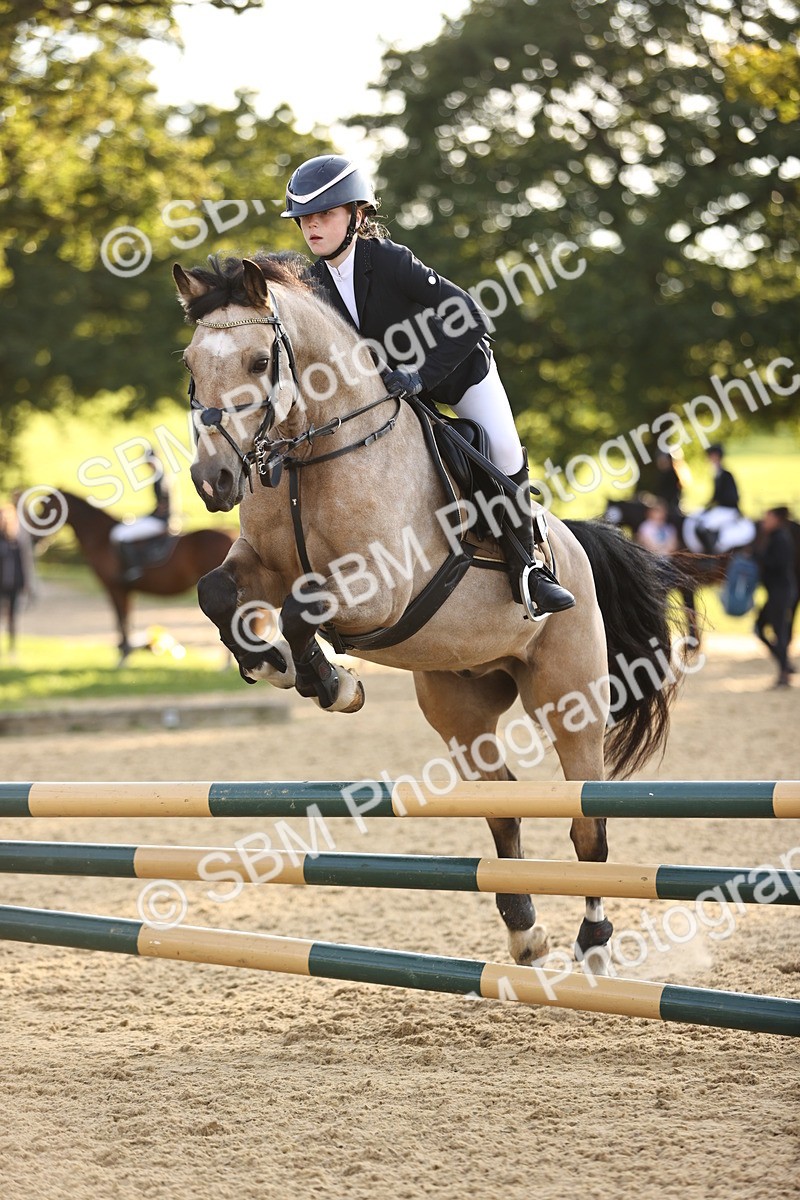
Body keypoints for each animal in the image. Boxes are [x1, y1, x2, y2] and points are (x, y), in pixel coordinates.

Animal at [34, 490, 235, 662]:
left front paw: (123, 657)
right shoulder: (125, 590)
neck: (101, 537)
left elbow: (122, 621)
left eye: (44, 510)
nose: (36, 542)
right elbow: (126, 620)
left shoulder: (115, 588)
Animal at [174, 250, 682, 974]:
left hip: (570, 699)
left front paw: (333, 683)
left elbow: (304, 612)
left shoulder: (378, 588)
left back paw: (593, 944)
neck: (312, 452)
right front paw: (271, 664)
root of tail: (577, 546)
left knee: (588, 823)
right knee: (502, 805)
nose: (213, 481)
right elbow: (217, 594)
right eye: (192, 363)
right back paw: (526, 935)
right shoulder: (263, 566)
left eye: (258, 360)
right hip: (460, 704)